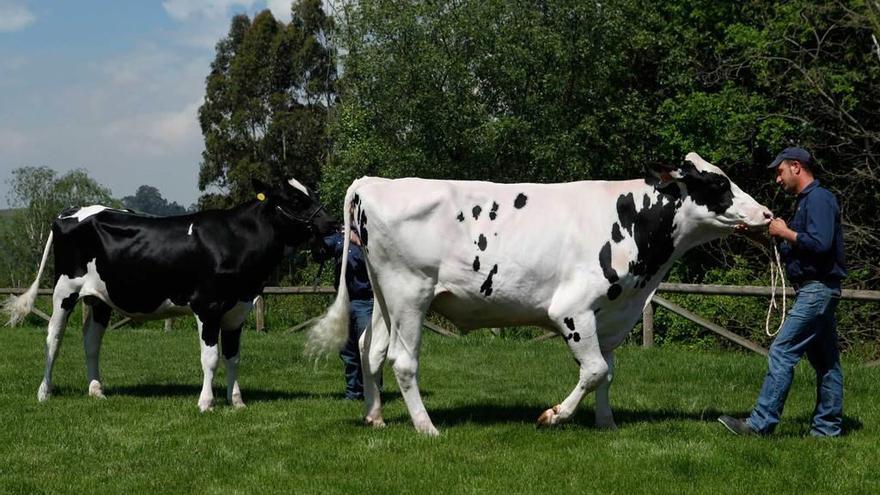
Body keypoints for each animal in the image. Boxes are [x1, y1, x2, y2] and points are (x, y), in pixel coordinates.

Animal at [5, 178, 336, 410]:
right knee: (54, 337)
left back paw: (96, 390)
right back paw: (45, 392)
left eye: (312, 192)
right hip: (65, 289)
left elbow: (233, 357)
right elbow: (211, 357)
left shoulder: (238, 309)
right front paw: (206, 403)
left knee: (91, 341)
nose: (331, 222)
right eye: (295, 199)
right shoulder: (207, 306)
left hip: (99, 298)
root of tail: (71, 211)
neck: (234, 239)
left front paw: (237, 401)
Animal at [308, 153, 768, 436]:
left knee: (369, 348)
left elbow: (609, 371)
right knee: (402, 362)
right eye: (718, 183)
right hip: (410, 292)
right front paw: (553, 416)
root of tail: (372, 182)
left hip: (385, 296)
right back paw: (427, 427)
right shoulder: (572, 309)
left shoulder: (614, 313)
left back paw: (375, 417)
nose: (767, 213)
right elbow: (594, 370)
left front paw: (606, 423)